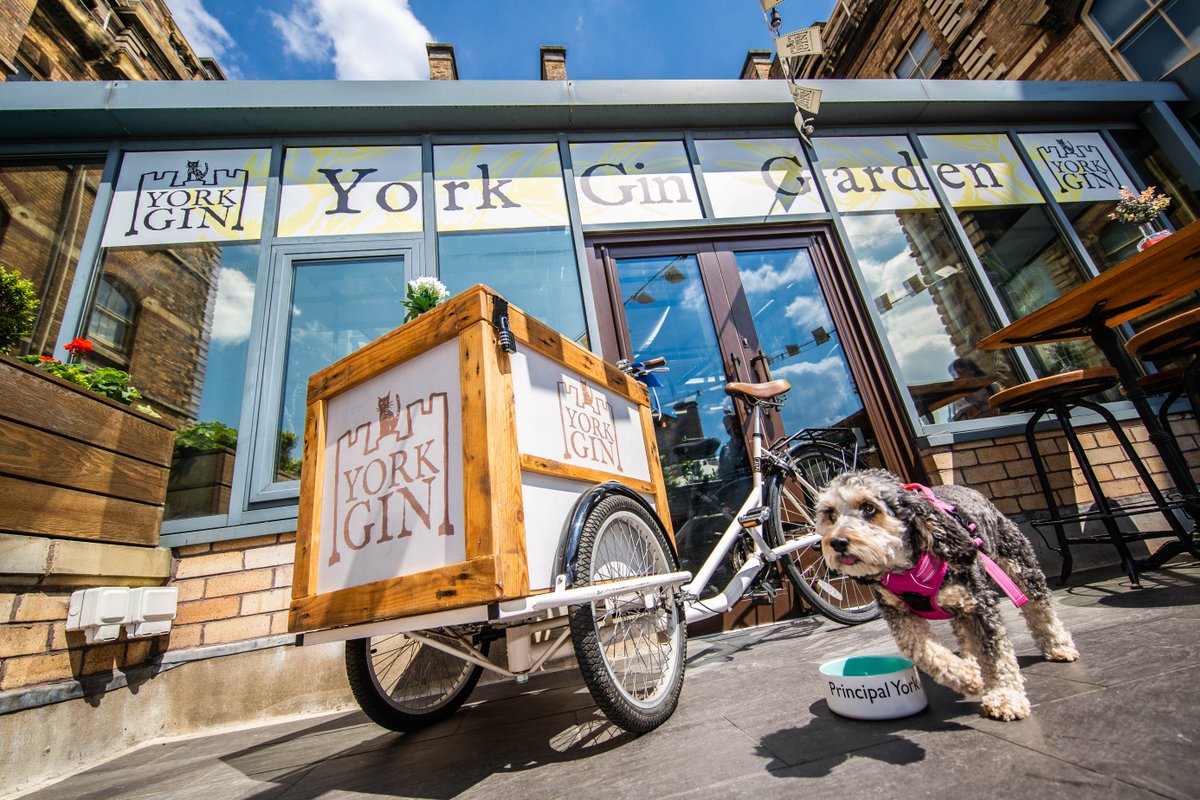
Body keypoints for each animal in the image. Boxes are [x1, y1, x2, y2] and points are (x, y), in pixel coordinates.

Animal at [816, 465, 1080, 724]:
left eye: (869, 508)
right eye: (831, 514)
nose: (837, 542)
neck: (909, 569)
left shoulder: (980, 605)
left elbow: (996, 655)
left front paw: (1006, 697)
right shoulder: (900, 615)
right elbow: (922, 651)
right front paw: (968, 677)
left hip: (1019, 564)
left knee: (1040, 607)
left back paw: (1058, 645)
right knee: (966, 634)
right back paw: (971, 662)